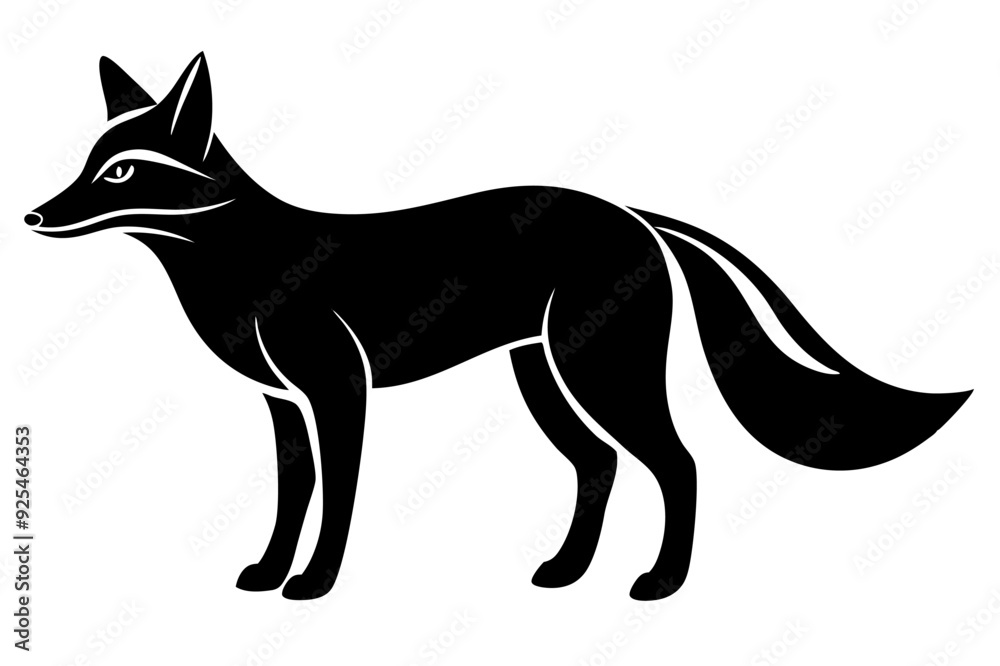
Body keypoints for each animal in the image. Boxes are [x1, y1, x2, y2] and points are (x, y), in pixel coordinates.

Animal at [27, 53, 971, 601]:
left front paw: (315, 584)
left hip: (601, 371)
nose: (34, 215)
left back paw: (660, 582)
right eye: (87, 162)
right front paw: (264, 573)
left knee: (679, 463)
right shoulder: (283, 405)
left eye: (119, 172)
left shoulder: (338, 392)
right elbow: (293, 494)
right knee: (599, 465)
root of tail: (634, 214)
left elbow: (338, 496)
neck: (243, 261)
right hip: (543, 374)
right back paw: (565, 572)